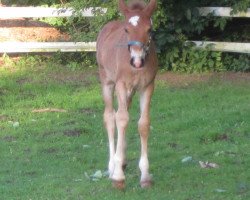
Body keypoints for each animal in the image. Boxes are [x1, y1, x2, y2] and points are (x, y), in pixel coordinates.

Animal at [96, 0, 157, 189]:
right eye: (126, 30)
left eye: (149, 29)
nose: (137, 61)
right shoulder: (121, 85)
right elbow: (121, 119)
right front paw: (118, 177)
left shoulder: (147, 86)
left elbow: (143, 123)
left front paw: (145, 175)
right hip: (107, 82)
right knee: (110, 116)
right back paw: (112, 166)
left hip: (130, 91)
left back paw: (121, 161)